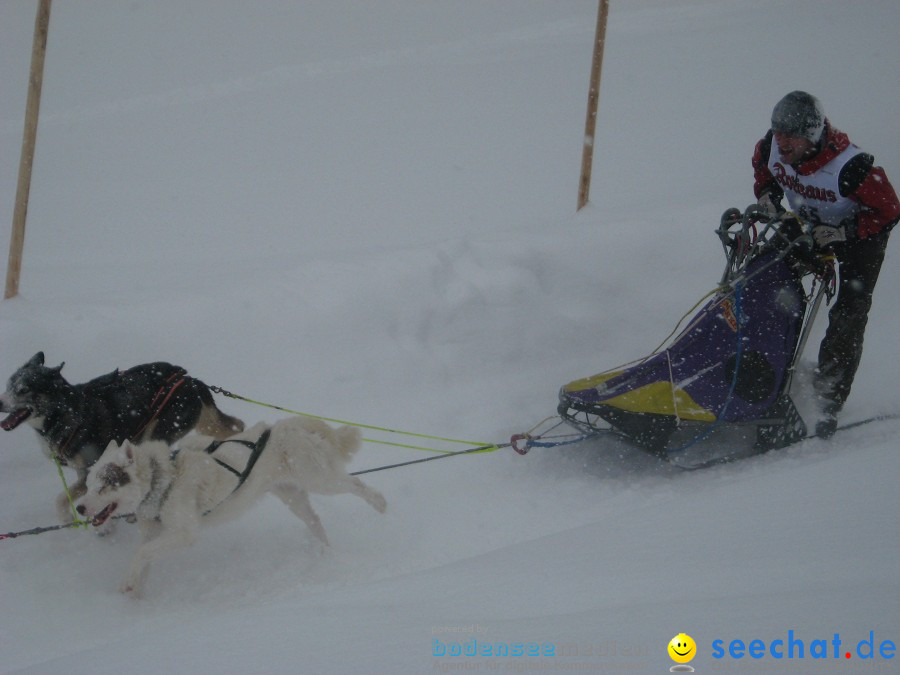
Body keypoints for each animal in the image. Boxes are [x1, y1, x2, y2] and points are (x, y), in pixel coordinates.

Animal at [0, 354, 244, 524]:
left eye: (23, 389)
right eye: (8, 386)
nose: (0, 402)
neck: (67, 413)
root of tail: (188, 379)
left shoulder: (90, 467)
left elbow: (63, 498)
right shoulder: (83, 472)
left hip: (160, 431)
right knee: (237, 424)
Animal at [76, 418, 386, 596]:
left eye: (103, 487)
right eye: (88, 485)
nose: (79, 507)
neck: (163, 479)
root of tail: (287, 425)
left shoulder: (184, 534)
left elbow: (140, 554)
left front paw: (129, 584)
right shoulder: (154, 534)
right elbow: (143, 558)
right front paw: (134, 589)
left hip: (321, 480)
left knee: (356, 485)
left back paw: (380, 504)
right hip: (294, 498)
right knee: (315, 521)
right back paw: (326, 552)